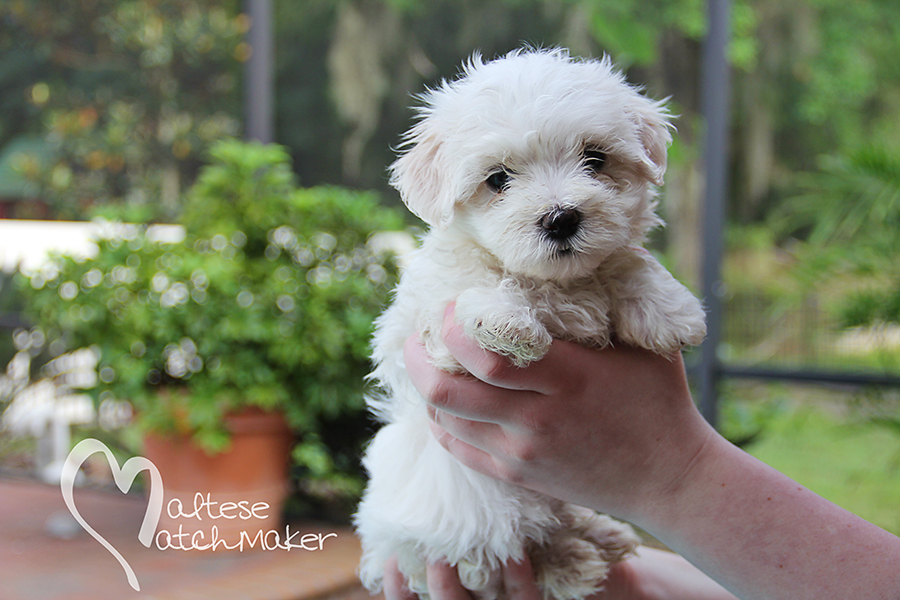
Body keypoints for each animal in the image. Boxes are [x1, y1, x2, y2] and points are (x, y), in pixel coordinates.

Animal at [356, 48, 708, 600]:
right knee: (504, 553)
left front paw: (670, 310)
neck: (557, 283)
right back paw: (570, 562)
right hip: (472, 527)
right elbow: (474, 288)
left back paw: (600, 536)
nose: (561, 218)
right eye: (498, 179)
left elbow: (624, 261)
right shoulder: (427, 332)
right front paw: (506, 320)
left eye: (596, 159)